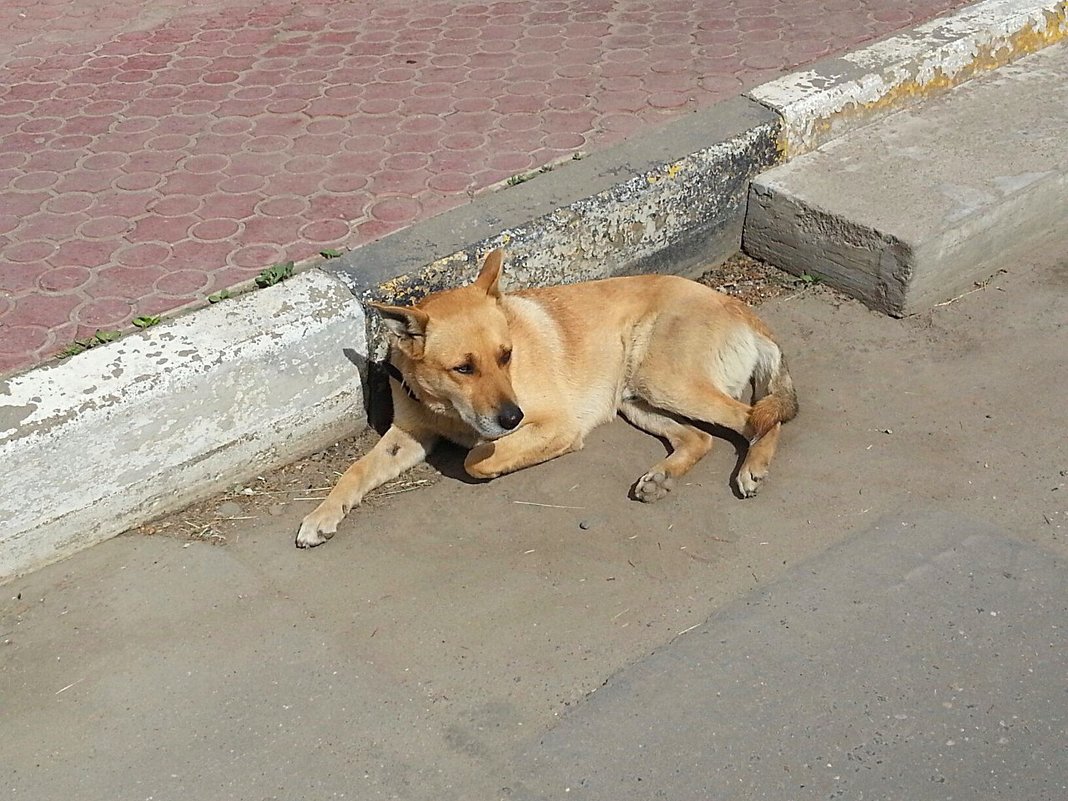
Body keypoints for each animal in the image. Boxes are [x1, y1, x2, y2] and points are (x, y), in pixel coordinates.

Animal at [296, 249, 798, 551]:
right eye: (463, 368)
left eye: (506, 355)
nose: (512, 417)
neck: (447, 408)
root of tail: (740, 308)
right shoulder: (407, 435)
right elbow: (356, 470)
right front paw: (323, 514)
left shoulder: (555, 423)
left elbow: (476, 458)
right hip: (636, 398)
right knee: (700, 438)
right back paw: (661, 477)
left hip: (665, 380)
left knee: (757, 418)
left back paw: (754, 466)